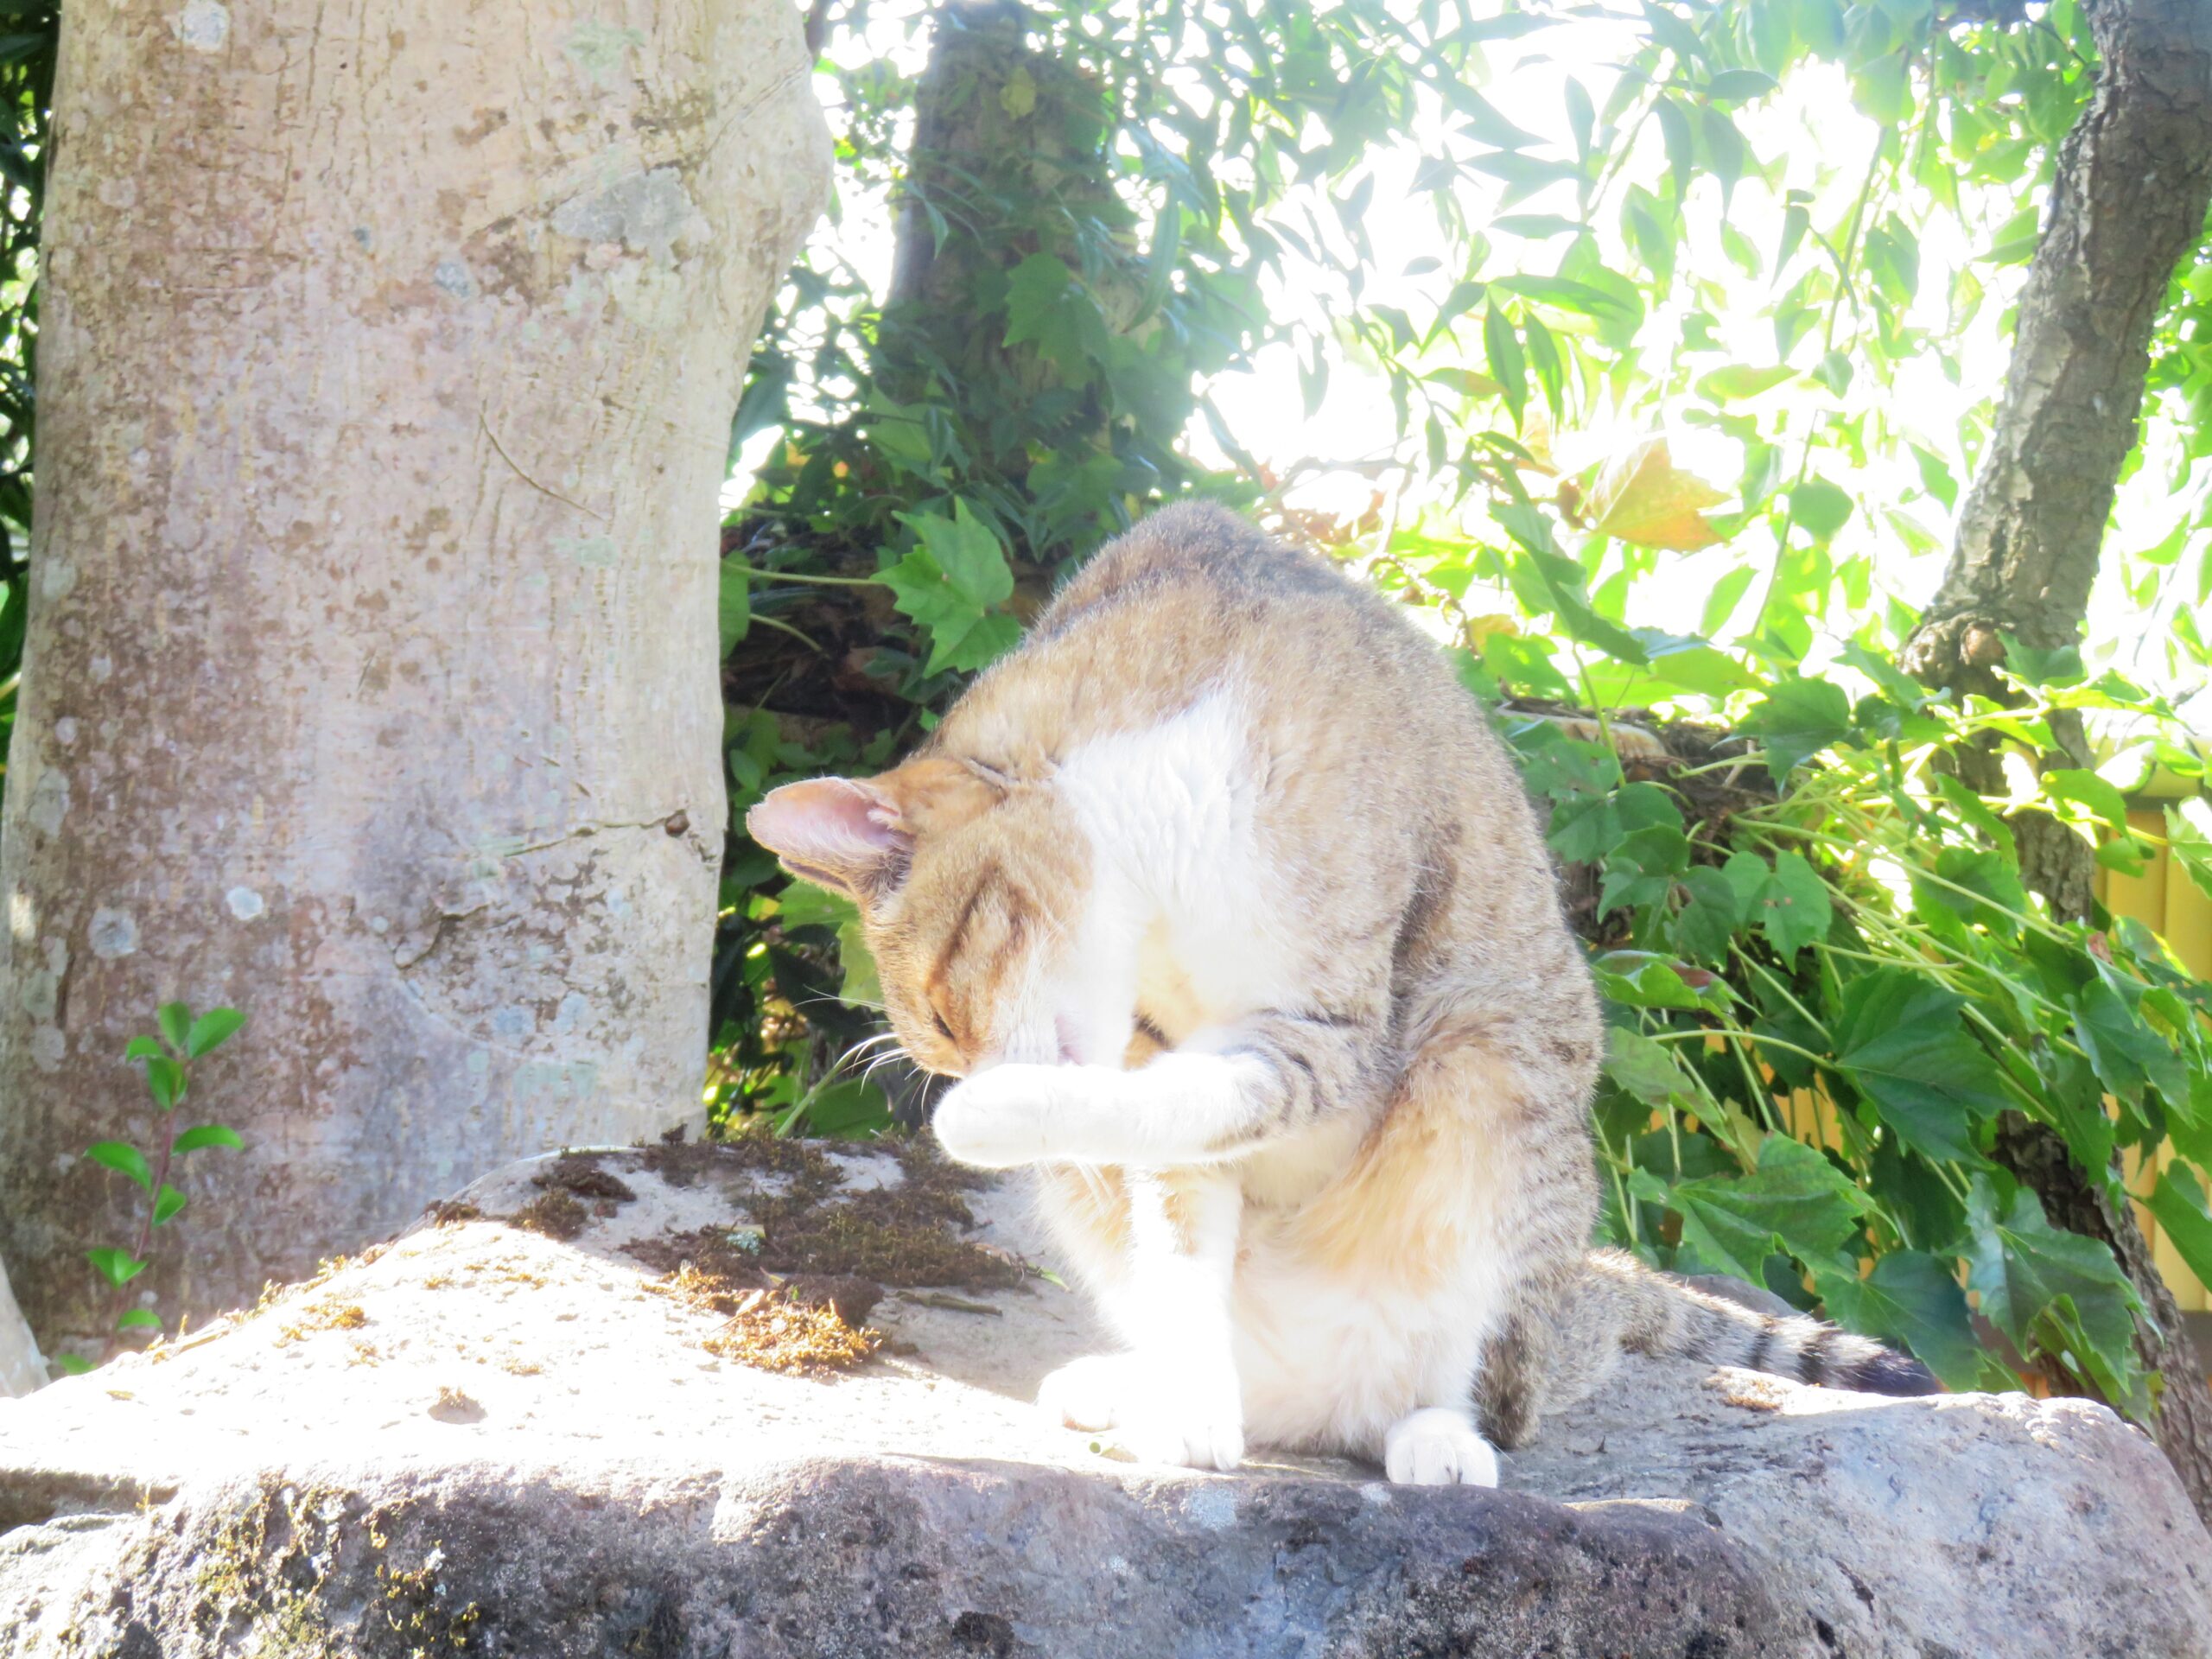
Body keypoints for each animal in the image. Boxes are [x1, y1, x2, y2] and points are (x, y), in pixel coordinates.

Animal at [747, 506, 1937, 1495]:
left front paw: (982, 1118)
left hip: (1489, 1065)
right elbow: (1179, 1218)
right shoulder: (1165, 1071)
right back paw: (1144, 1391)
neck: (1157, 858)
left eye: (947, 1022)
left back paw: (1435, 1437)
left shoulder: (1327, 1031)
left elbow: (1196, 1098)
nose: (969, 1077)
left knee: (1475, 1392)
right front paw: (1190, 1413)